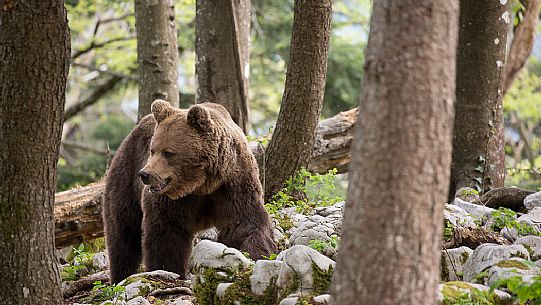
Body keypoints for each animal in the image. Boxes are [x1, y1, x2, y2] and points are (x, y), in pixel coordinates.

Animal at [103, 100, 276, 282]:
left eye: (168, 153)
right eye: (152, 150)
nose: (145, 174)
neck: (202, 184)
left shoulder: (234, 184)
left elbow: (245, 222)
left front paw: (256, 254)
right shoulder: (174, 200)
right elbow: (166, 232)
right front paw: (168, 269)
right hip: (126, 176)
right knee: (123, 233)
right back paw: (120, 275)